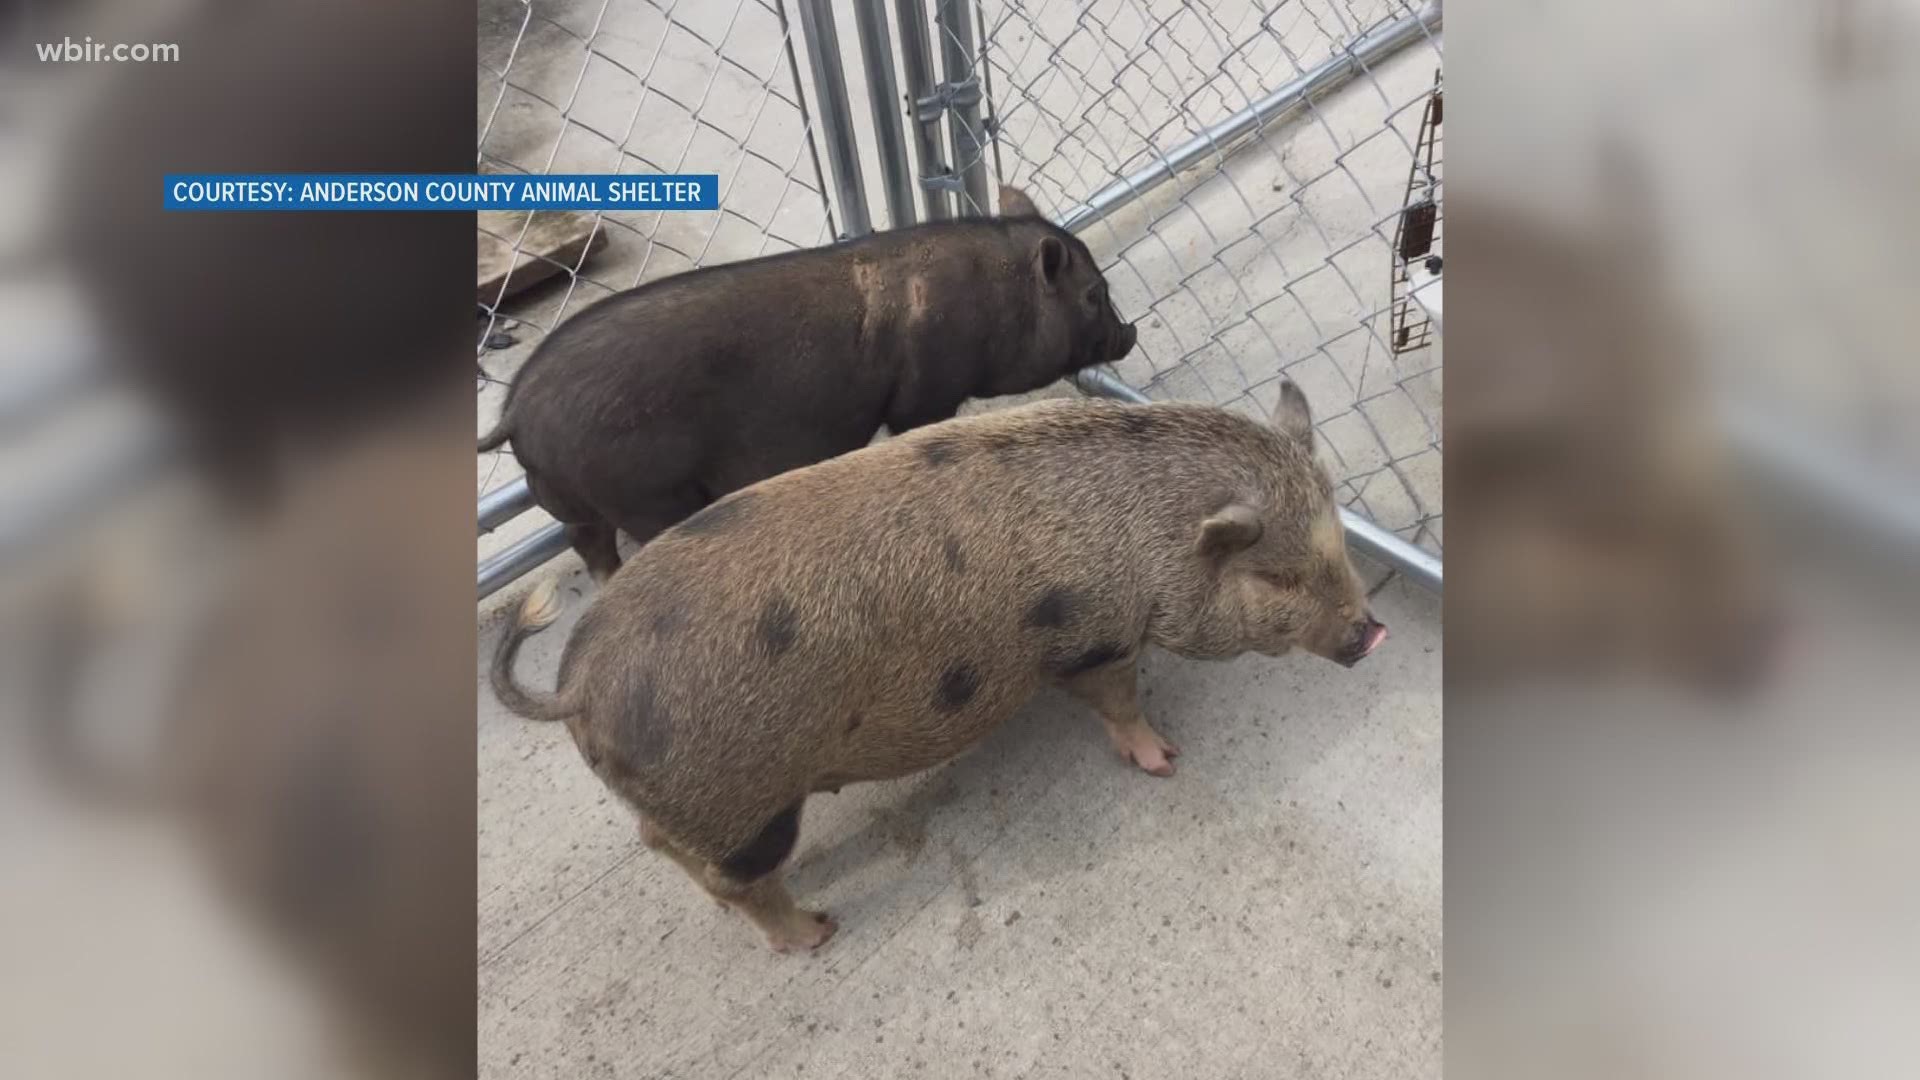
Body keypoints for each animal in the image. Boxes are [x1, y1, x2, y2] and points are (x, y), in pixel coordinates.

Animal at [480, 189, 1128, 584]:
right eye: (1094, 295)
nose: (1131, 333)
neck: (994, 299)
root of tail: (515, 411)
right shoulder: (924, 393)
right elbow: (917, 426)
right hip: (642, 491)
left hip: (569, 495)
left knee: (584, 541)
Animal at [491, 388, 1382, 949]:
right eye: (1279, 579)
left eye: (1338, 538)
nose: (1371, 634)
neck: (1148, 539)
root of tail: (578, 686)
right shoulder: (1089, 637)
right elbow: (1117, 701)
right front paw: (1166, 762)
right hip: (744, 807)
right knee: (739, 881)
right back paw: (818, 934)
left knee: (662, 846)